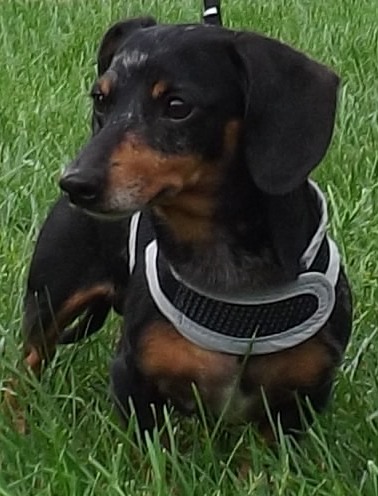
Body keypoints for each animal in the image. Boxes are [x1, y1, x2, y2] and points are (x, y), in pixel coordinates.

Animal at [13, 16, 352, 442]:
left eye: (177, 106)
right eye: (101, 99)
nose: (75, 184)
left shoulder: (299, 404)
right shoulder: (131, 380)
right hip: (49, 297)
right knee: (27, 362)